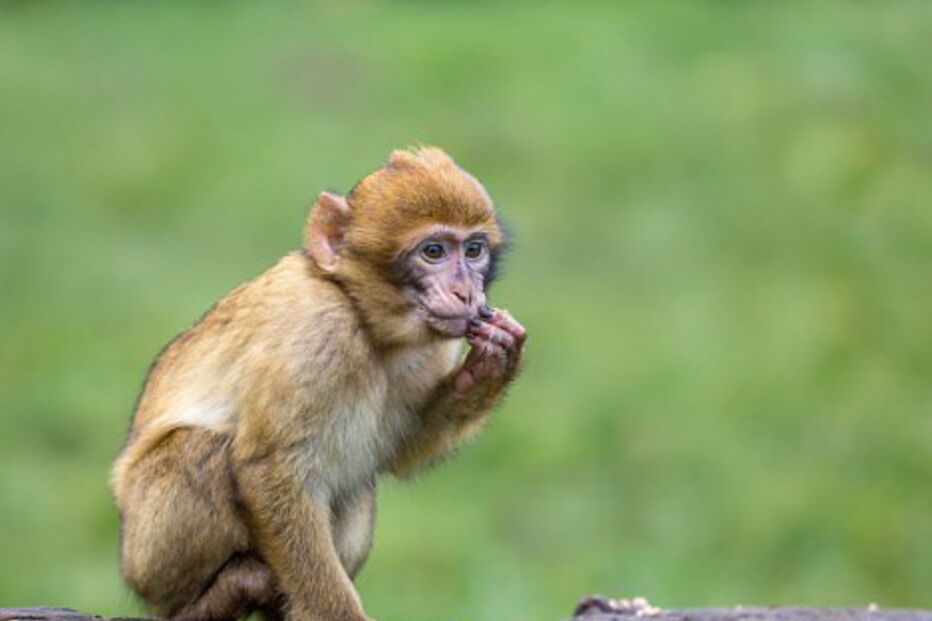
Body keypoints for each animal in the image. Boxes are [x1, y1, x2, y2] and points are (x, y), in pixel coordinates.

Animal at [111, 146, 526, 621]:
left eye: (473, 250)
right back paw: (214, 597)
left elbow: (397, 451)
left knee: (355, 481)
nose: (466, 293)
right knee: (198, 448)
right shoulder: (317, 332)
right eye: (434, 251)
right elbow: (270, 468)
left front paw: (492, 364)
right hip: (149, 556)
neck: (364, 317)